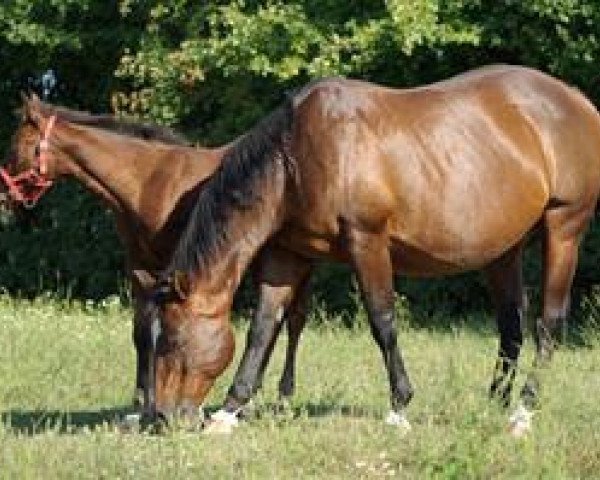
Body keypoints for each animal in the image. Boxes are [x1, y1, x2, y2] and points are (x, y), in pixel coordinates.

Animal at [0, 94, 310, 420]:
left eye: (18, 143)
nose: (4, 196)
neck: (147, 181)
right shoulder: (141, 268)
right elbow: (142, 333)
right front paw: (141, 405)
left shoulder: (169, 271)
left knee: (292, 322)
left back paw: (281, 397)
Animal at [148, 64, 600, 436]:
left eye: (170, 339)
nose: (165, 418)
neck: (296, 157)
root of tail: (577, 100)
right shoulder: (287, 255)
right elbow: (262, 327)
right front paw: (230, 410)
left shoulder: (366, 242)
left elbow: (382, 320)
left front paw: (399, 407)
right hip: (504, 250)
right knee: (511, 326)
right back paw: (495, 404)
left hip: (564, 228)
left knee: (549, 323)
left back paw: (523, 412)